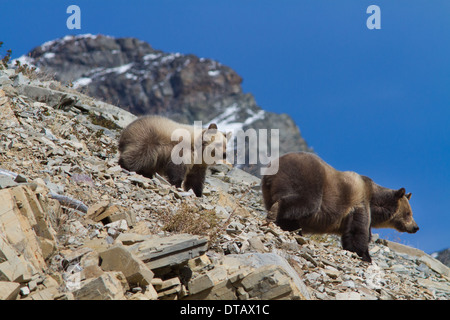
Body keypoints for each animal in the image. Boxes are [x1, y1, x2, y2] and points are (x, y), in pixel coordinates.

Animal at [260, 152, 418, 262]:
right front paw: (365, 256)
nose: (415, 227)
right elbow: (358, 231)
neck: (374, 201)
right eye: (408, 213)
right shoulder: (359, 202)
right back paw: (276, 213)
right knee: (304, 203)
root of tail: (271, 172)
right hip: (306, 178)